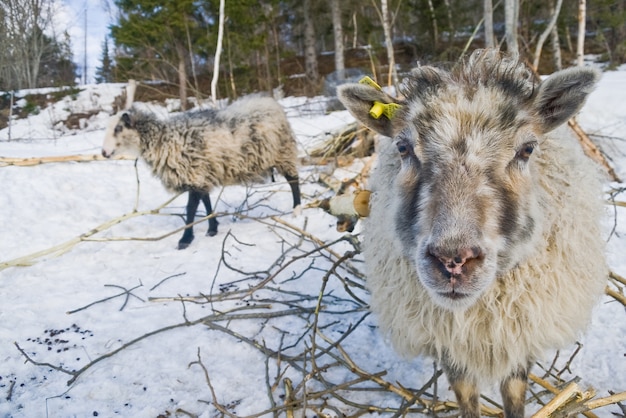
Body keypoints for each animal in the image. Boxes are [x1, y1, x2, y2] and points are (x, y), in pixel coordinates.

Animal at [101, 96, 302, 250]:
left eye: (118, 128)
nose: (104, 153)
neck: (163, 141)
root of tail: (271, 102)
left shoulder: (195, 173)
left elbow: (190, 209)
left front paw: (185, 239)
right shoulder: (201, 174)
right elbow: (206, 201)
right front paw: (212, 228)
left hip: (282, 152)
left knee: (293, 180)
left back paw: (297, 210)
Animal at [336, 49, 604, 418]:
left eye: (527, 149)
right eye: (403, 148)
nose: (453, 260)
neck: (477, 310)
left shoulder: (521, 330)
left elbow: (514, 393)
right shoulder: (448, 341)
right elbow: (466, 395)